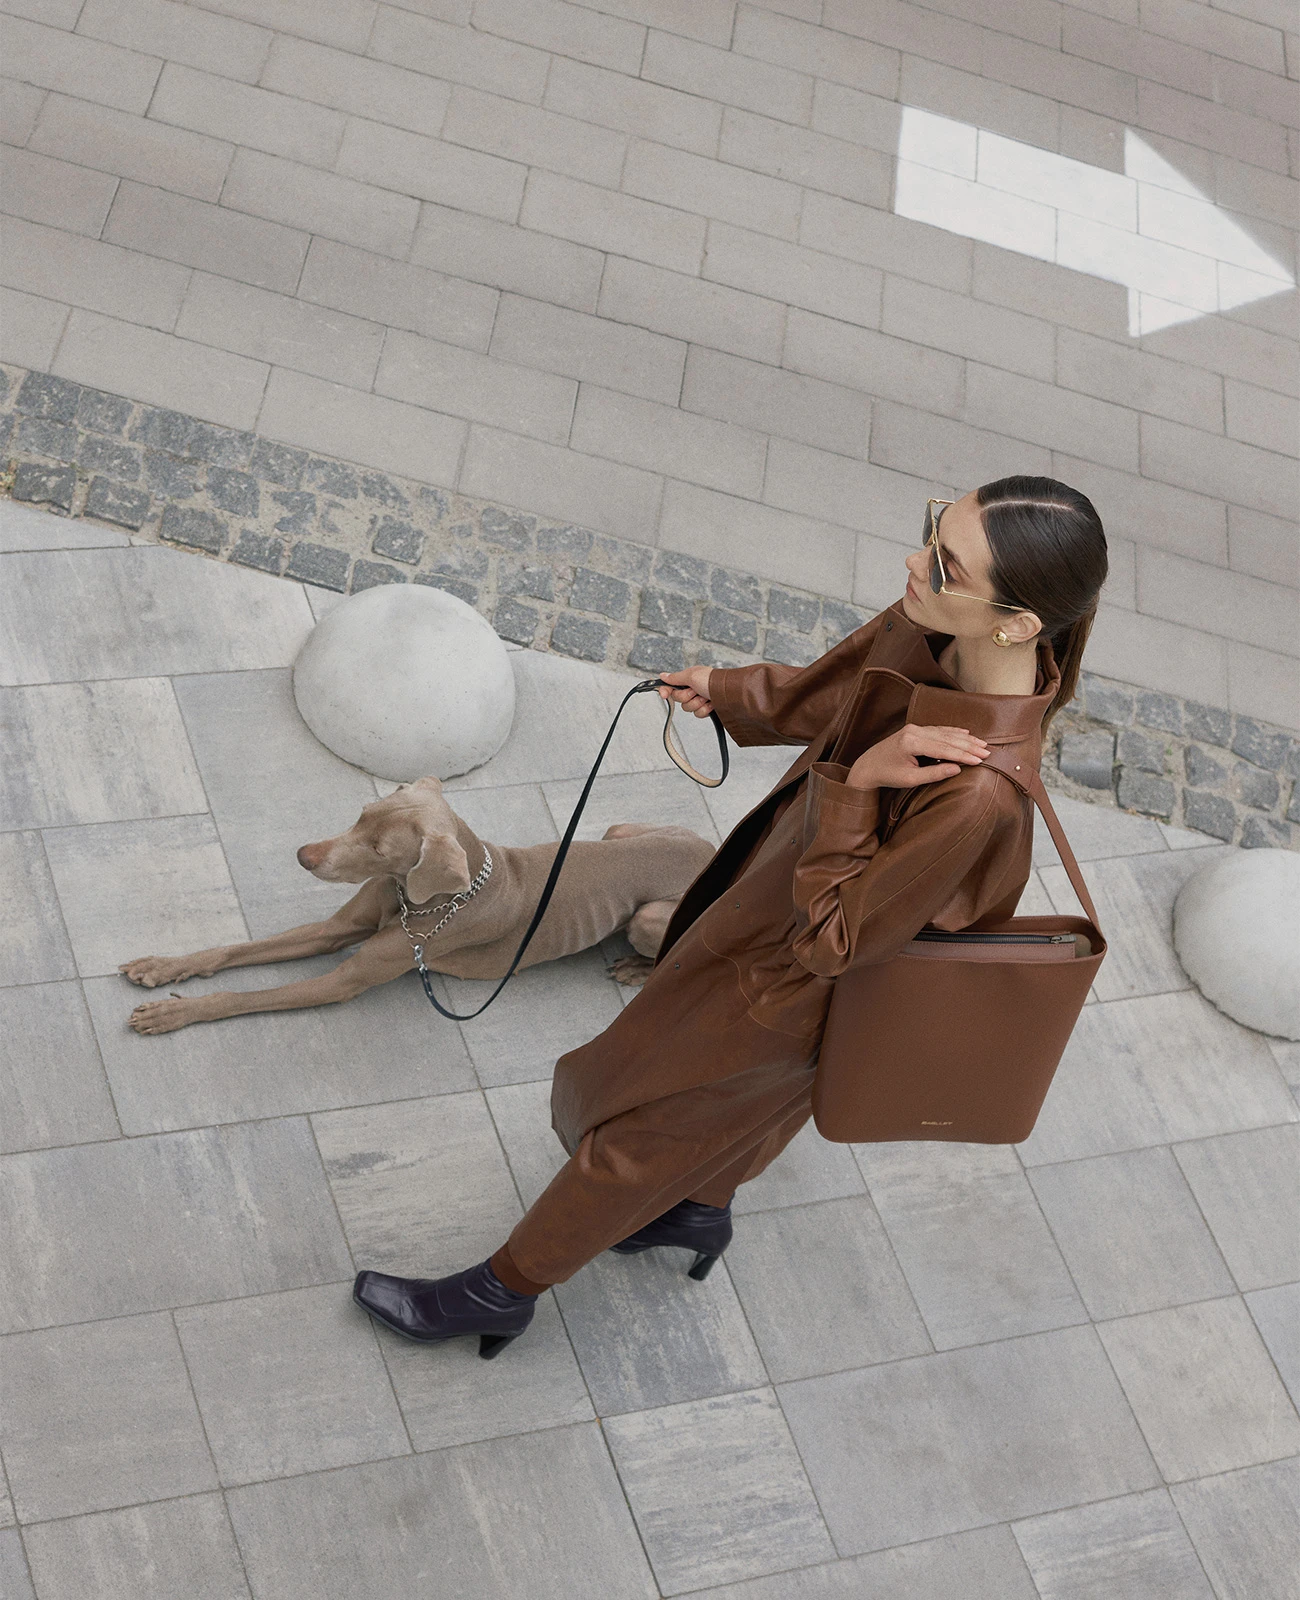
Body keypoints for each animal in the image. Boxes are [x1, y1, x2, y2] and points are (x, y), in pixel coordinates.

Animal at [121, 775, 716, 1034]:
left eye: (381, 849)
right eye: (361, 813)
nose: (303, 855)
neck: (419, 901)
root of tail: (714, 850)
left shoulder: (342, 981)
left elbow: (244, 998)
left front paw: (177, 1012)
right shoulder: (334, 930)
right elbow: (231, 951)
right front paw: (163, 966)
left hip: (648, 918)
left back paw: (637, 969)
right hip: (619, 830)